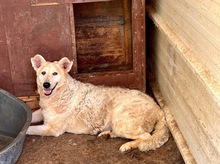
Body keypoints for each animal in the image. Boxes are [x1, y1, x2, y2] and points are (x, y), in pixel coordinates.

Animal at [26, 54, 170, 152]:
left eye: (55, 73)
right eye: (43, 73)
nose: (46, 84)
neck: (59, 95)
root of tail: (158, 109)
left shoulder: (51, 129)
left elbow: (29, 129)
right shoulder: (42, 112)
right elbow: (31, 117)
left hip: (121, 121)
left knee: (146, 136)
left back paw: (127, 146)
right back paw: (107, 134)